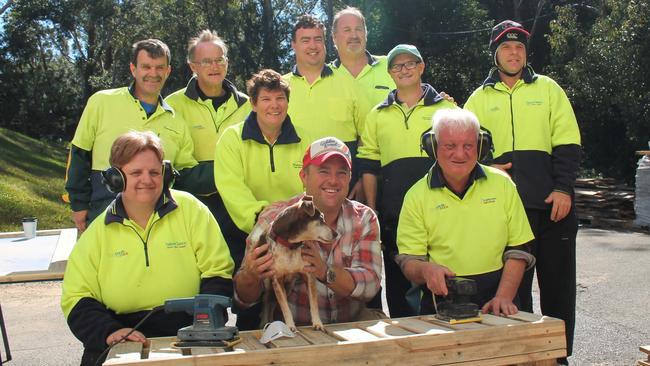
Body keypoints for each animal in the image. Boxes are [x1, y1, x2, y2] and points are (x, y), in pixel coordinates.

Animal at [251, 197, 336, 332]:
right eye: (321, 219)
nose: (336, 234)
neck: (291, 245)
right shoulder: (277, 280)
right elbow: (285, 306)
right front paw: (290, 326)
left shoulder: (308, 274)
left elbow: (313, 303)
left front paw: (317, 323)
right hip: (268, 284)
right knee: (267, 303)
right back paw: (265, 322)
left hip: (289, 285)